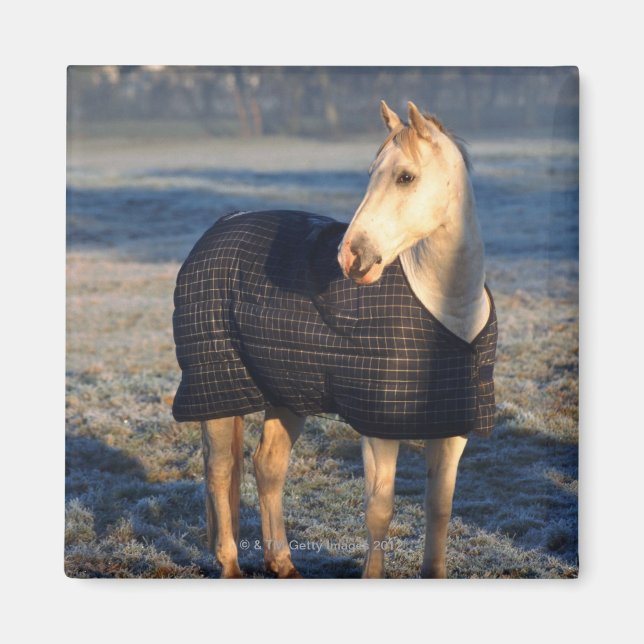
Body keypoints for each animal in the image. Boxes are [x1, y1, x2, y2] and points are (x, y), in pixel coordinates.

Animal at [172, 100, 496, 578]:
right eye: (371, 172)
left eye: (405, 177)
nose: (350, 256)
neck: (447, 312)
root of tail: (219, 229)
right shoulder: (378, 429)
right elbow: (379, 510)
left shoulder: (453, 426)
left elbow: (440, 509)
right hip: (216, 390)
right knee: (220, 470)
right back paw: (229, 564)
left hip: (286, 392)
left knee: (267, 466)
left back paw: (282, 563)